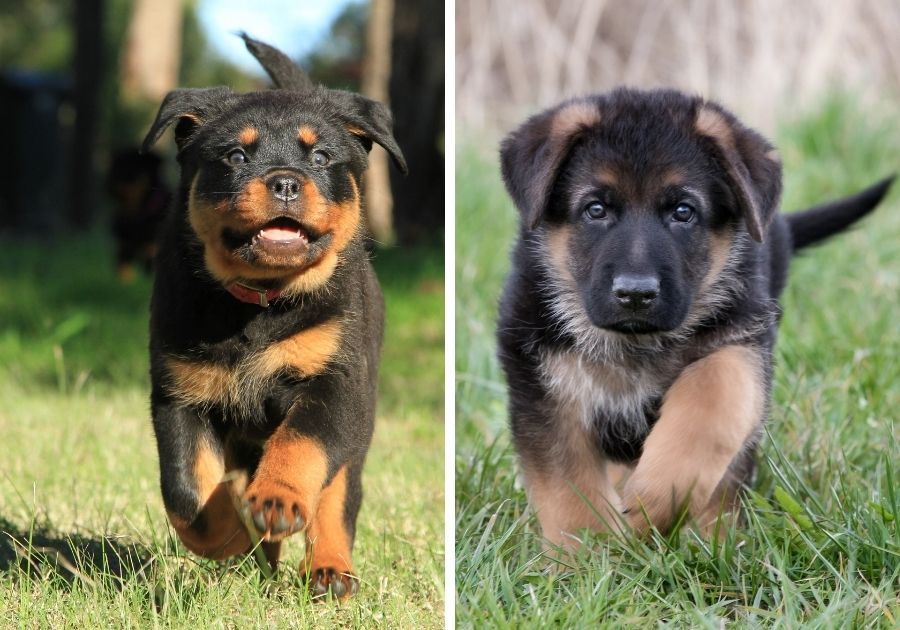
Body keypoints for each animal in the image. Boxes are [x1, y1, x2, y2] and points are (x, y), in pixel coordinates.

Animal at [142, 37, 408, 600]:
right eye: (236, 155)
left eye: (322, 156)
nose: (285, 182)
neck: (259, 303)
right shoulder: (179, 393)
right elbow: (187, 493)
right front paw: (232, 533)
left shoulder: (336, 384)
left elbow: (301, 445)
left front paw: (276, 502)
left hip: (359, 426)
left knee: (338, 494)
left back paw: (328, 569)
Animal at [500, 86, 892, 552]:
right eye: (596, 209)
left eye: (683, 212)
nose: (636, 294)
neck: (634, 345)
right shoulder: (542, 384)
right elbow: (567, 488)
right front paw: (590, 557)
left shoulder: (743, 340)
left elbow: (713, 397)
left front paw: (656, 500)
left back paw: (714, 538)